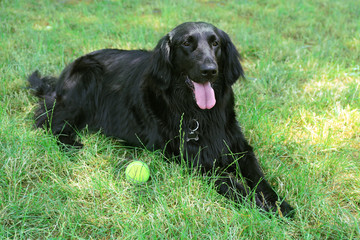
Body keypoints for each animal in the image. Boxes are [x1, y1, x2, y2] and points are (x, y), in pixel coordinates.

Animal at [27, 22, 292, 218]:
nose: (209, 70)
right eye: (186, 43)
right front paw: (264, 207)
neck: (200, 113)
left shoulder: (239, 147)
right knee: (46, 120)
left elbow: (259, 179)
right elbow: (237, 187)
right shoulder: (198, 161)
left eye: (215, 43)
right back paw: (70, 144)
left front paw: (280, 203)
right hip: (83, 83)